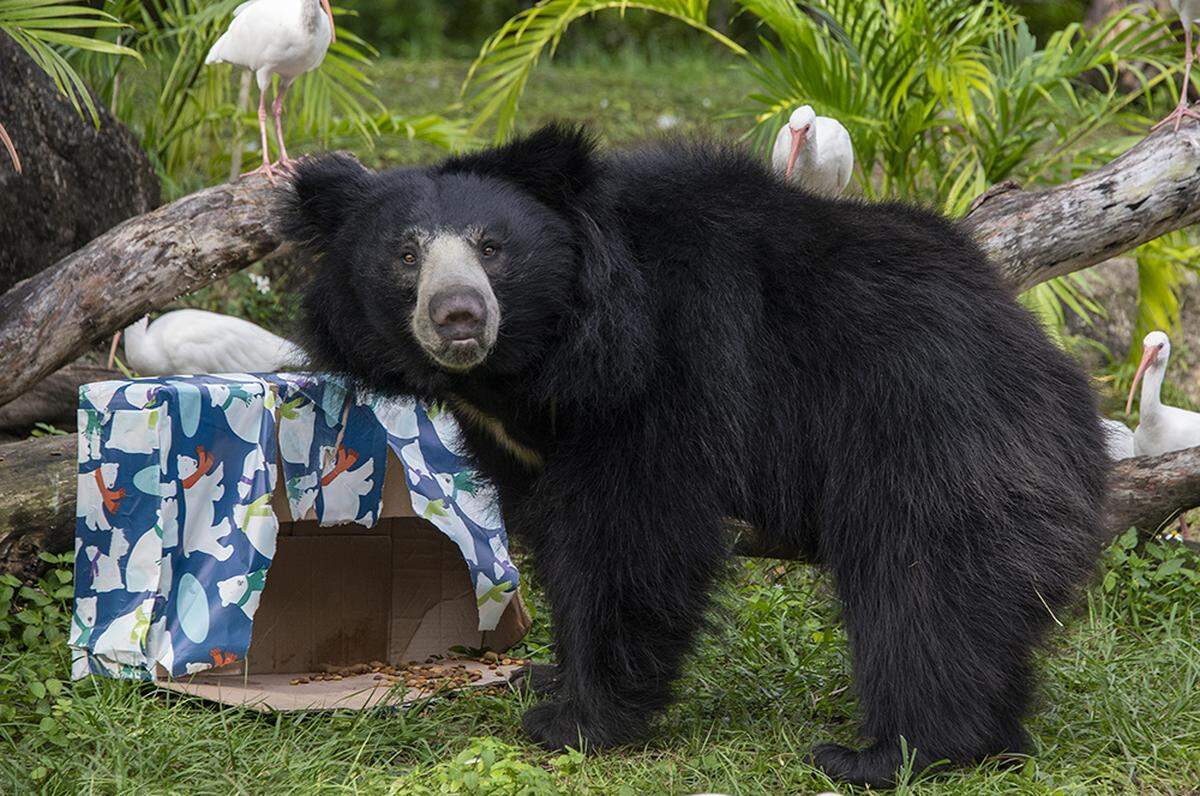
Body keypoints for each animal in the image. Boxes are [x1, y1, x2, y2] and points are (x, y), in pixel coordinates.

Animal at [281, 125, 1109, 787]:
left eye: (493, 246)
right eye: (405, 253)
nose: (459, 316)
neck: (533, 367)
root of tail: (1057, 374)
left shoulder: (663, 374)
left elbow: (634, 536)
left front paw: (576, 721)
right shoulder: (528, 438)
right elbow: (559, 540)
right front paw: (545, 676)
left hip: (934, 444)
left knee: (921, 589)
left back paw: (891, 753)